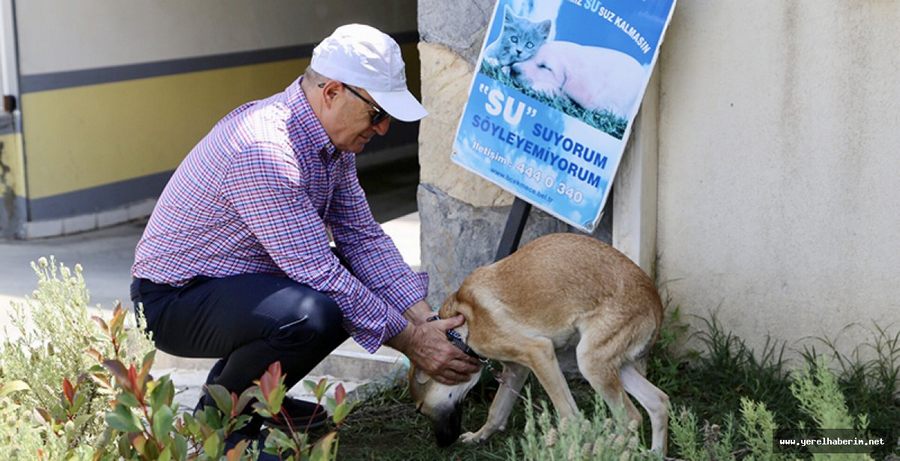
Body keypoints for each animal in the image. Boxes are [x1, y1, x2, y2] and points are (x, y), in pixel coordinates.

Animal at [408, 234, 668, 452]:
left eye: (420, 409)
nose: (442, 445)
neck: (459, 330)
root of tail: (655, 302)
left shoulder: (539, 354)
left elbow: (569, 414)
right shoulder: (517, 369)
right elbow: (497, 411)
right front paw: (479, 436)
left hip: (591, 363)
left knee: (631, 417)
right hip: (613, 365)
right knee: (658, 402)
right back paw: (655, 453)